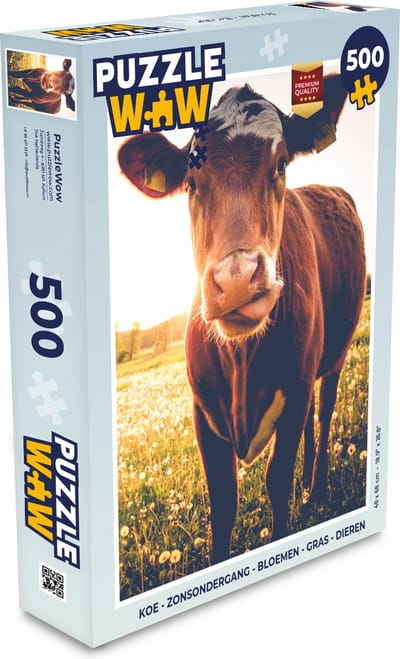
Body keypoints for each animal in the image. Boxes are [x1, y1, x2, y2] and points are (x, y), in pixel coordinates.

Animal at [117, 74, 366, 564]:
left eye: (281, 164)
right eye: (191, 182)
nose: (235, 281)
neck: (242, 361)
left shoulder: (294, 390)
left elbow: (276, 480)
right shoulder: (202, 410)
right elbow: (224, 503)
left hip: (336, 353)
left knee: (325, 410)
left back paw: (315, 488)